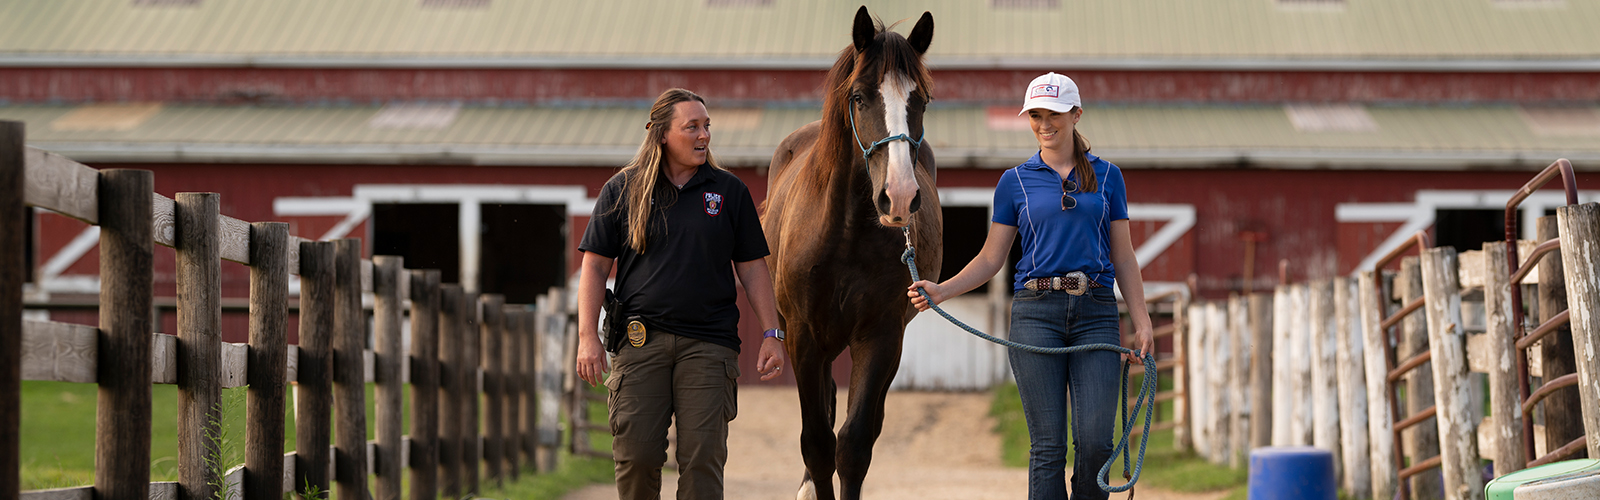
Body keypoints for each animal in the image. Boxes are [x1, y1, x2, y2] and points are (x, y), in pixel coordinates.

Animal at [761, 7, 941, 500]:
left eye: (922, 101)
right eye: (859, 97)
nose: (899, 196)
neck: (844, 234)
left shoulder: (880, 337)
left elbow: (854, 445)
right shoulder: (804, 337)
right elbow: (818, 445)